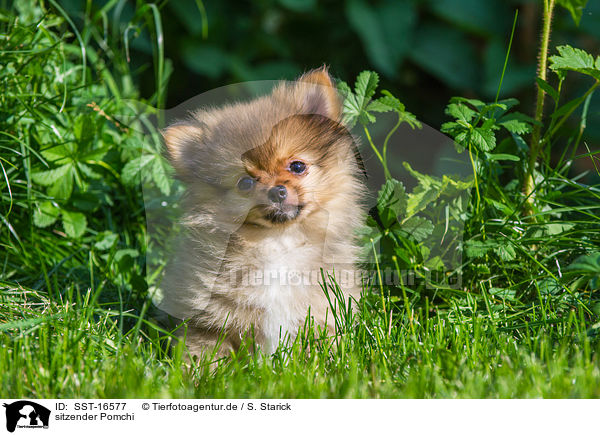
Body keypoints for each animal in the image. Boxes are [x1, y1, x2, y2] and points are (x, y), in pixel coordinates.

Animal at [159, 68, 366, 360]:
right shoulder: (209, 320)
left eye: (297, 166)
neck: (279, 243)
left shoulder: (324, 314)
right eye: (245, 183)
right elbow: (207, 354)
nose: (276, 191)